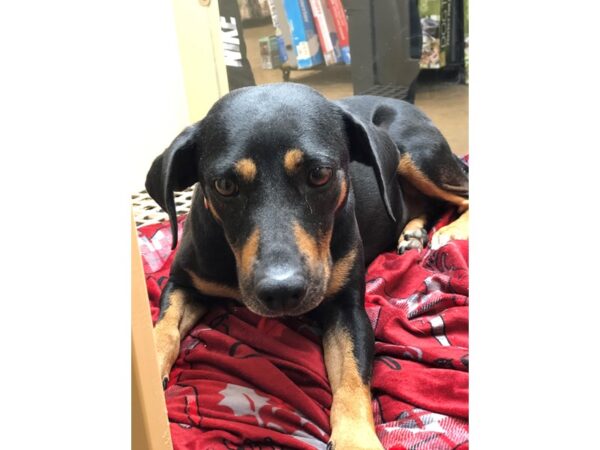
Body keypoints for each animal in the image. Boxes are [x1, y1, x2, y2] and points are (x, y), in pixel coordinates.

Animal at [146, 82, 468, 448]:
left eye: (319, 175)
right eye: (224, 186)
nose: (281, 291)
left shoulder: (347, 308)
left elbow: (352, 379)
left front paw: (355, 440)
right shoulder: (183, 282)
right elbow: (162, 329)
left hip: (416, 155)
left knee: (463, 193)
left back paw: (454, 230)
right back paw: (413, 232)